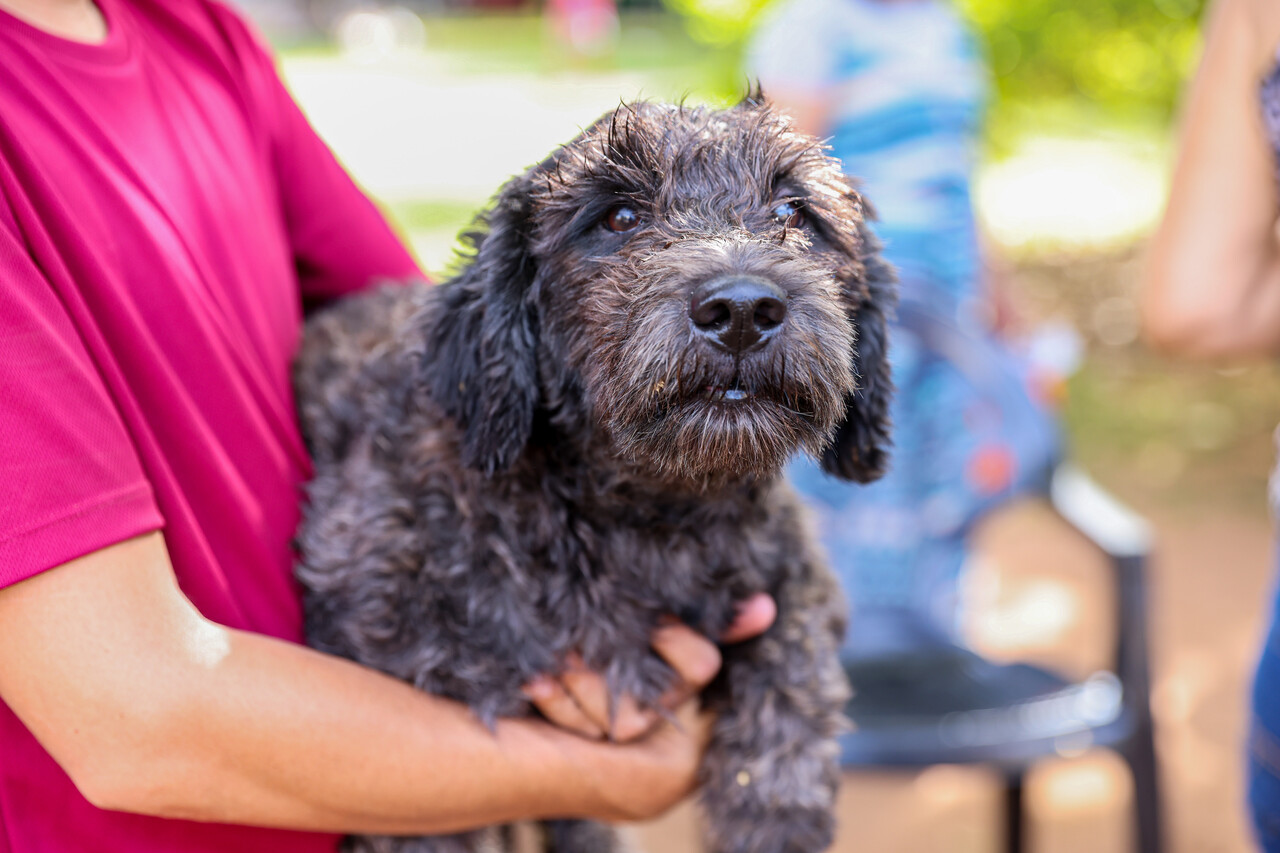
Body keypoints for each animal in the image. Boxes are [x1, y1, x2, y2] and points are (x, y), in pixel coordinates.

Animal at [294, 92, 896, 850]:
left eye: (795, 212)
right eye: (619, 217)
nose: (740, 310)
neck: (647, 512)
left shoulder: (789, 572)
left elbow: (791, 683)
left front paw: (771, 806)